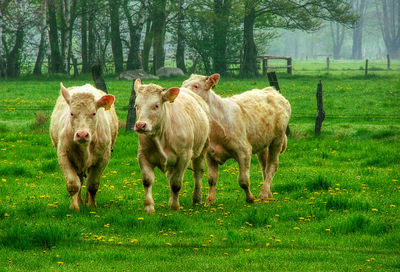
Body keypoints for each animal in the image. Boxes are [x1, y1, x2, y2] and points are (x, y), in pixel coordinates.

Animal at [134, 78, 211, 212]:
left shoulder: (184, 157)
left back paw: (196, 198)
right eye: (136, 105)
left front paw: (174, 206)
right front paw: (149, 206)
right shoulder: (142, 155)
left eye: (156, 105)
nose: (140, 125)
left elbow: (176, 183)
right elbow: (147, 181)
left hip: (201, 150)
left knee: (198, 172)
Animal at [181, 73, 290, 205]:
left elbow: (243, 180)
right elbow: (212, 179)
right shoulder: (210, 154)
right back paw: (268, 193)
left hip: (277, 140)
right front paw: (210, 201)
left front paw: (250, 198)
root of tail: (273, 91)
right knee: (265, 166)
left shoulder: (244, 150)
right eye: (183, 83)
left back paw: (263, 194)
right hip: (263, 143)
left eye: (196, 86)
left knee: (272, 166)